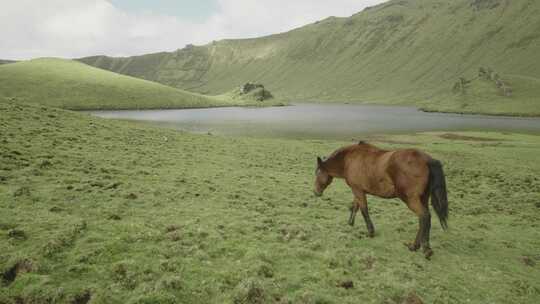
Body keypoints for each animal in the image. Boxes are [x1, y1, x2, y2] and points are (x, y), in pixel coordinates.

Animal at [312, 141, 448, 258]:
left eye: (317, 173)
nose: (315, 192)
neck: (349, 159)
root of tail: (427, 160)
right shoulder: (358, 190)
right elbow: (355, 207)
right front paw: (350, 222)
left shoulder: (358, 190)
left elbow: (364, 210)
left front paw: (370, 232)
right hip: (423, 198)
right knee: (423, 219)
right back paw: (415, 246)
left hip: (411, 199)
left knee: (424, 216)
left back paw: (423, 248)